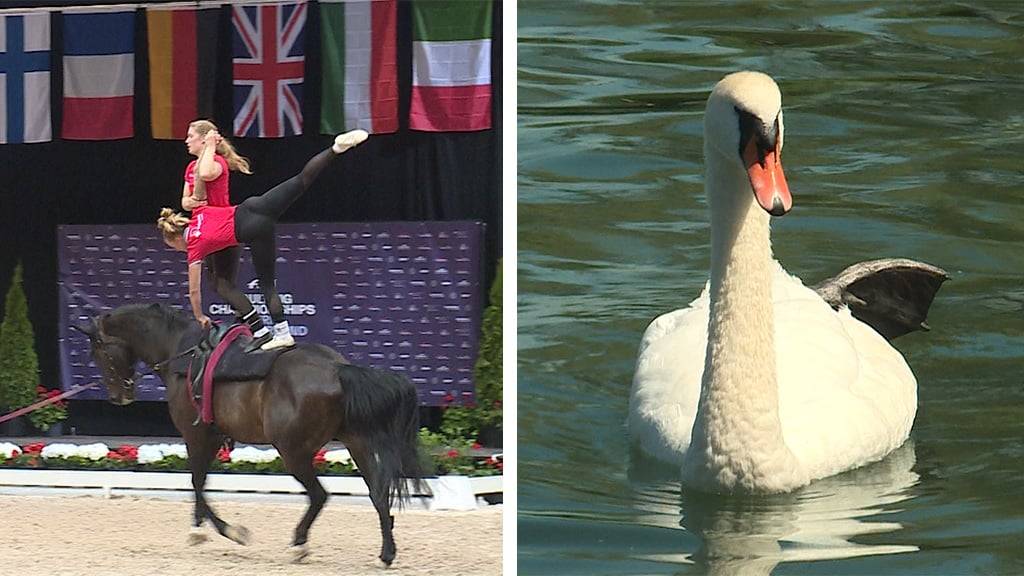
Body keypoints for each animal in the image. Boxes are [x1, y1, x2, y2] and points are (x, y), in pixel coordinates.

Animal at [74, 303, 421, 561]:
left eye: (98, 350)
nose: (119, 396)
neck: (182, 353)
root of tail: (337, 368)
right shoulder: (212, 438)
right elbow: (200, 482)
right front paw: (205, 529)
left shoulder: (198, 436)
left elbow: (196, 483)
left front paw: (221, 531)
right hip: (355, 443)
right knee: (377, 493)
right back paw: (387, 552)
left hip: (293, 452)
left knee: (319, 495)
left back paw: (300, 544)